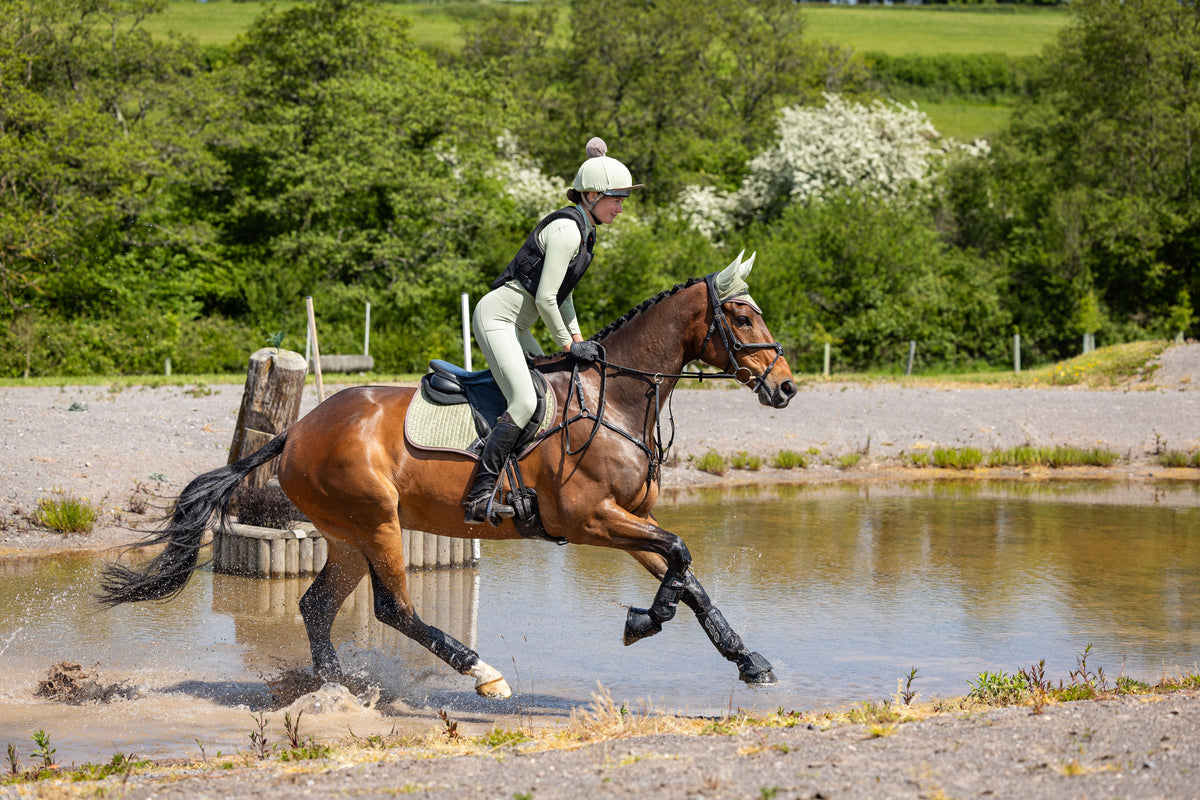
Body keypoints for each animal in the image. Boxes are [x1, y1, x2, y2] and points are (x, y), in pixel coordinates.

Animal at [100, 251, 796, 700]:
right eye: (742, 318)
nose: (786, 387)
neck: (617, 398)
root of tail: (295, 432)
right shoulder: (591, 520)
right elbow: (680, 556)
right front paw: (643, 622)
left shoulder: (631, 519)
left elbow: (686, 573)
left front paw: (749, 660)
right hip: (377, 524)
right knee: (394, 609)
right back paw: (479, 672)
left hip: (347, 536)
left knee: (316, 605)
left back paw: (336, 685)